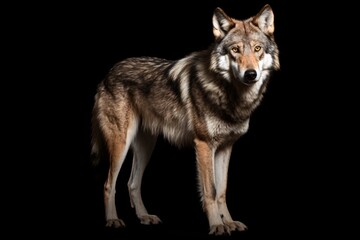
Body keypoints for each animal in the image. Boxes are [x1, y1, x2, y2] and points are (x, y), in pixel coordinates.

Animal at [90, 3, 282, 235]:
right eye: (235, 50)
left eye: (257, 49)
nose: (250, 74)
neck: (231, 97)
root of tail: (108, 74)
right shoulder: (204, 145)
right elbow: (210, 191)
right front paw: (217, 226)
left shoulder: (225, 147)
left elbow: (222, 191)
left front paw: (229, 222)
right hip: (121, 143)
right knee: (109, 184)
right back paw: (112, 220)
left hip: (146, 146)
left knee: (132, 184)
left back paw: (145, 217)